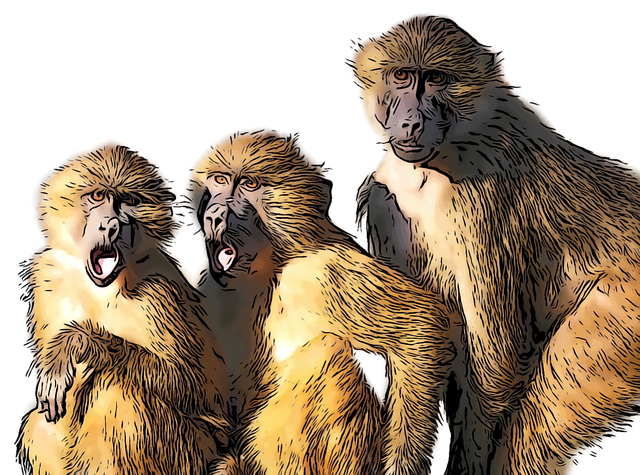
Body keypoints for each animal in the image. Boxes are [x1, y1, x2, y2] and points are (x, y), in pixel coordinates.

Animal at [15, 139, 230, 475]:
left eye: (128, 202)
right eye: (97, 197)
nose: (111, 226)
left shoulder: (160, 293)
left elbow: (197, 386)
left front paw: (77, 342)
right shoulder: (45, 277)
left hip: (191, 454)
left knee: (117, 390)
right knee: (42, 423)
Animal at [184, 126, 456, 475]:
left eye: (249, 185)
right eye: (219, 180)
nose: (216, 215)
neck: (272, 264)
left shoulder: (323, 269)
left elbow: (420, 325)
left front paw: (402, 465)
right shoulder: (209, 281)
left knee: (328, 355)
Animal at [350, 12, 640, 474]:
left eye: (435, 79)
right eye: (401, 76)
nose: (410, 122)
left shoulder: (480, 205)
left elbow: (496, 358)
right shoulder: (383, 202)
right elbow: (421, 333)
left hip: (620, 318)